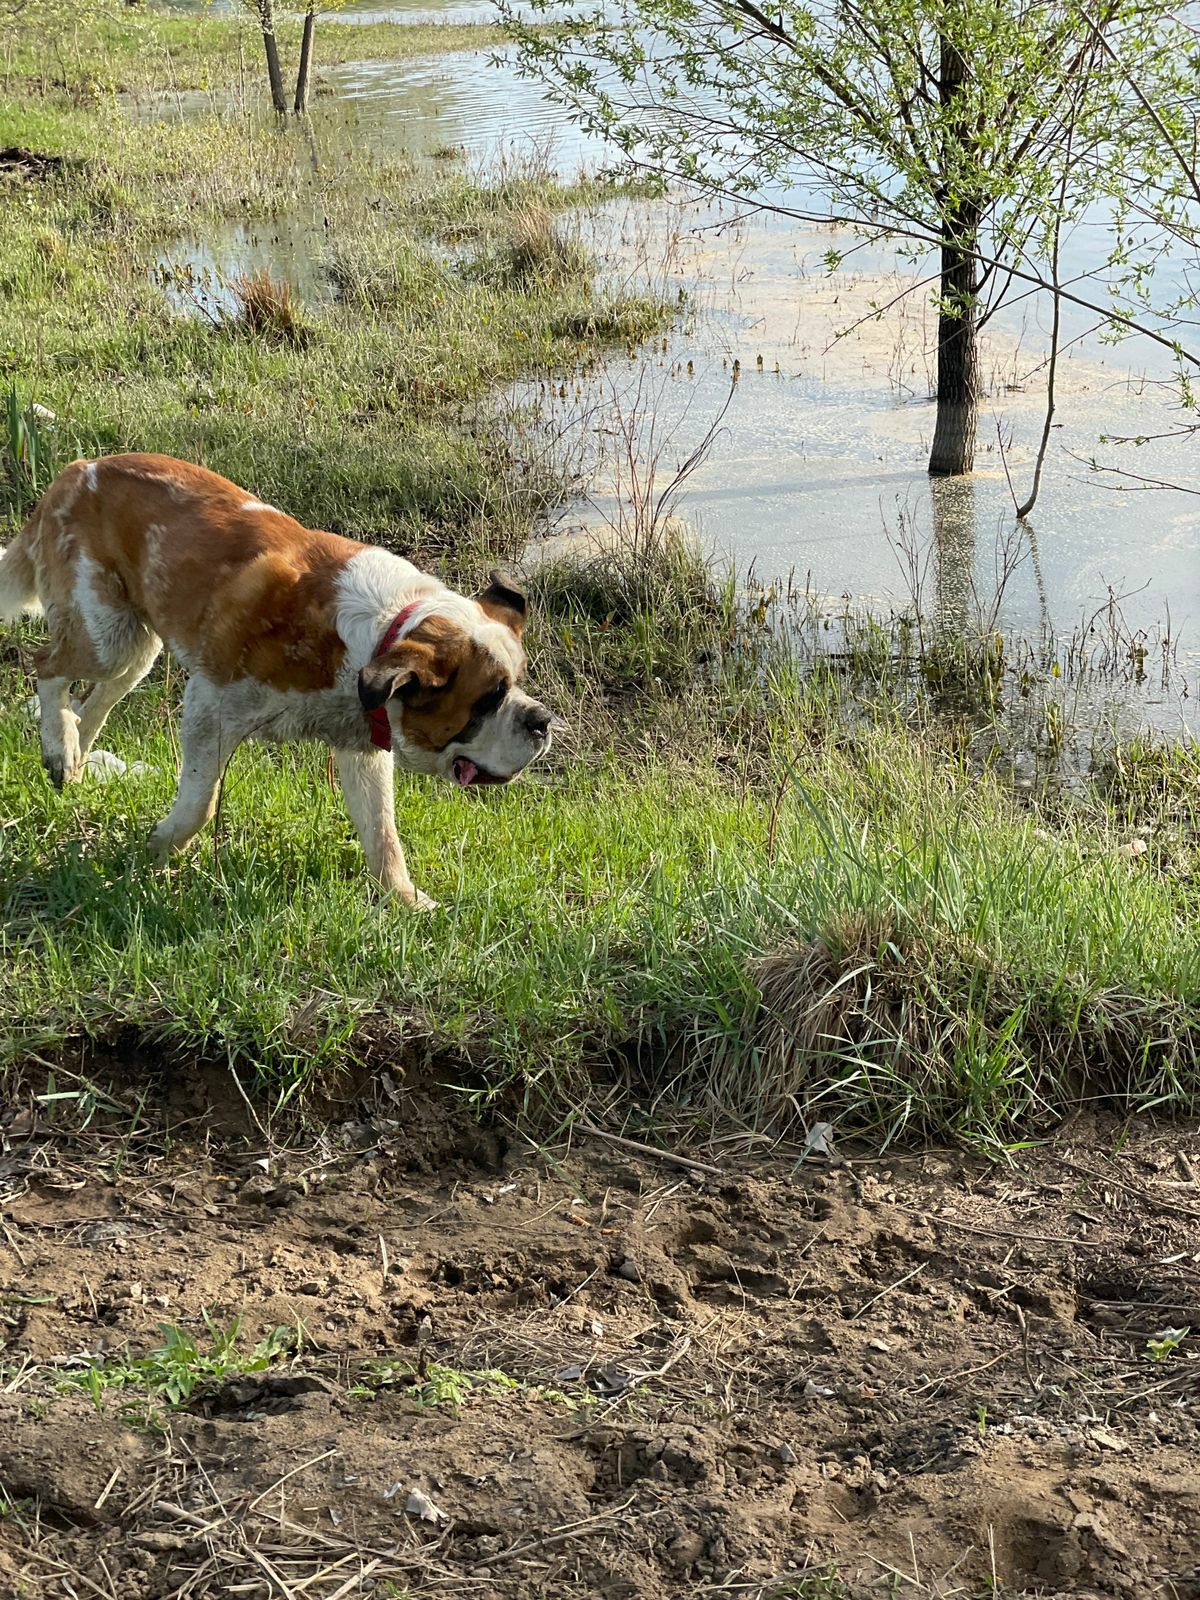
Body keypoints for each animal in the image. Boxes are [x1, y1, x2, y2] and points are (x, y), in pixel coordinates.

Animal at [0, 451, 553, 908]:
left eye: (517, 683)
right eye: (487, 700)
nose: (542, 721)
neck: (378, 636)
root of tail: (76, 470)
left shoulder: (362, 747)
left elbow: (382, 832)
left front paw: (406, 901)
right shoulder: (209, 706)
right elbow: (200, 805)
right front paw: (156, 852)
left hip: (136, 649)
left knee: (92, 702)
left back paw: (72, 760)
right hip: (107, 639)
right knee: (47, 667)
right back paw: (59, 747)